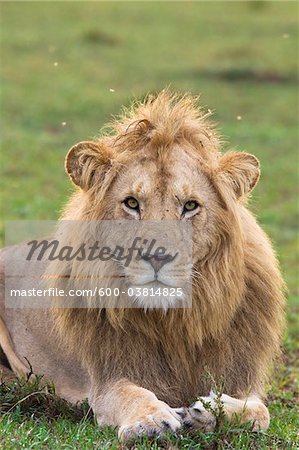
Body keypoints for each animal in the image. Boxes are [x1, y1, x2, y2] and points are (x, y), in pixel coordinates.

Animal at [0, 90, 286, 440]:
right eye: (132, 203)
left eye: (190, 206)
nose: (157, 256)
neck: (174, 323)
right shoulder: (106, 380)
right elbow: (132, 394)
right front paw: (152, 421)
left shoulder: (242, 377)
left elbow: (260, 412)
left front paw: (207, 411)